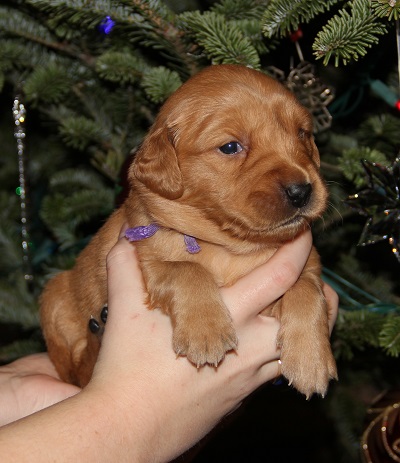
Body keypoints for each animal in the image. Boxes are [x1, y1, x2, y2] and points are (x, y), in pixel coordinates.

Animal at [40, 64, 336, 398]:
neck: (232, 247)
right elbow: (186, 270)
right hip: (53, 295)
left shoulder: (309, 263)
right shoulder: (148, 257)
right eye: (230, 147)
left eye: (302, 133)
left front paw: (311, 359)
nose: (301, 191)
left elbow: (307, 290)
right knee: (74, 366)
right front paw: (206, 332)